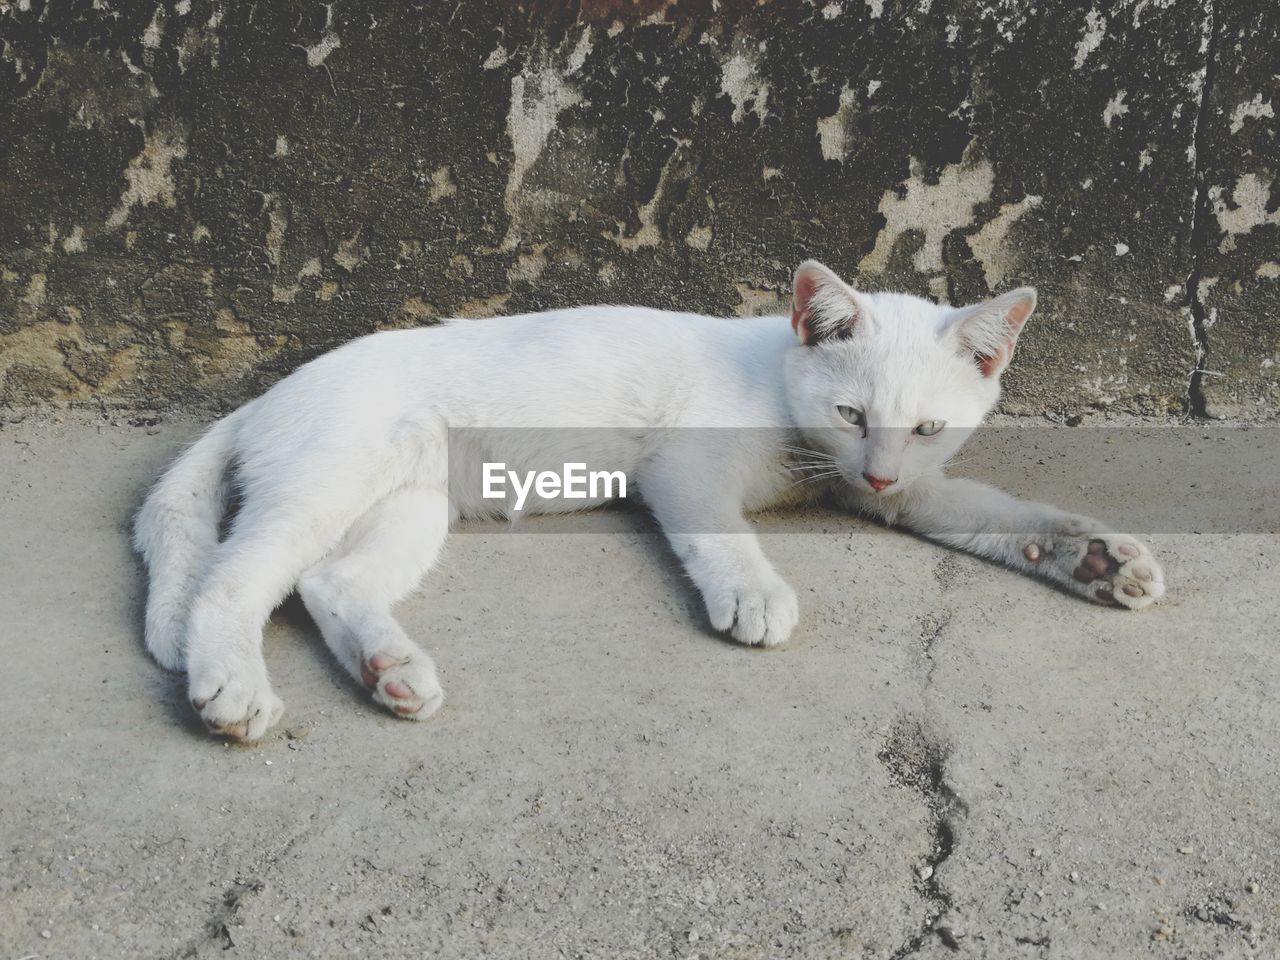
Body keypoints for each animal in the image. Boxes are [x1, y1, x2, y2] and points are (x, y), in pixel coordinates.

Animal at [135, 259, 1167, 742]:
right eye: (851, 411)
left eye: (924, 429)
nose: (877, 472)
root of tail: (268, 394)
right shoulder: (685, 469)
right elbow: (721, 532)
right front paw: (753, 592)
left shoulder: (904, 492)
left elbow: (998, 511)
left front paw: (1096, 556)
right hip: (330, 479)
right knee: (235, 576)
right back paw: (232, 687)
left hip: (409, 505)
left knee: (329, 584)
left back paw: (390, 669)